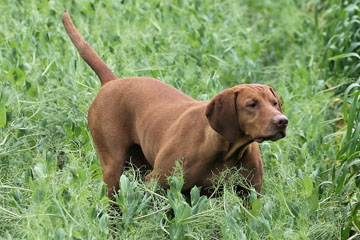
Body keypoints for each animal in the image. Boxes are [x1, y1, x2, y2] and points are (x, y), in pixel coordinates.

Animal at [62, 11, 286, 198]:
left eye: (275, 103)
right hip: (113, 168)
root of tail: (112, 82)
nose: (283, 121)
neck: (227, 149)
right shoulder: (156, 184)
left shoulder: (249, 195)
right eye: (251, 104)